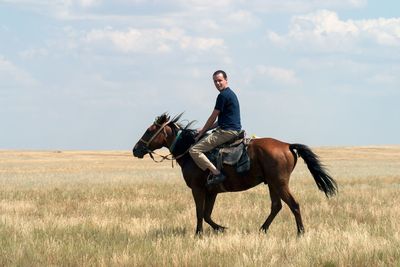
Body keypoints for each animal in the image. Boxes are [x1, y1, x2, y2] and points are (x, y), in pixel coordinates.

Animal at [134, 113, 338, 237]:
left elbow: (200, 213)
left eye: (150, 130)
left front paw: (198, 234)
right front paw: (221, 229)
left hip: (280, 184)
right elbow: (207, 214)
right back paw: (262, 229)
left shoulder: (198, 189)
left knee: (293, 205)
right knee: (276, 206)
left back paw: (300, 233)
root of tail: (287, 145)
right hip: (272, 184)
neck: (190, 152)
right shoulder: (211, 192)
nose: (136, 149)